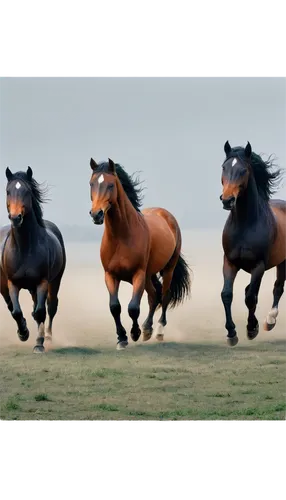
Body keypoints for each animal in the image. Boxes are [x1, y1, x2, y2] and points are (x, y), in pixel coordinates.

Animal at [0, 166, 66, 354]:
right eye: (8, 191)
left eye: (27, 192)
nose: (16, 217)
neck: (25, 247)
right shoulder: (12, 283)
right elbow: (16, 311)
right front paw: (23, 333)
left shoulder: (42, 282)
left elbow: (40, 312)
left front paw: (39, 343)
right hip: (5, 284)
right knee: (12, 306)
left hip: (54, 281)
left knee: (50, 306)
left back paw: (48, 336)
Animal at [87, 158, 190, 350]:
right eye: (91, 183)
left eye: (111, 185)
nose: (96, 214)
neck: (122, 237)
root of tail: (166, 215)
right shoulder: (110, 275)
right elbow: (115, 307)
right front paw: (122, 338)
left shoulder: (138, 274)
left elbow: (133, 307)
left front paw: (134, 333)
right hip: (149, 275)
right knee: (153, 296)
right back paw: (147, 329)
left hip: (167, 269)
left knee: (164, 296)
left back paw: (158, 331)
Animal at [220, 139, 284, 346]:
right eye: (224, 167)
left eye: (243, 170)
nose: (227, 200)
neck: (245, 225)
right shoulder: (229, 262)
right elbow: (227, 294)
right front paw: (231, 333)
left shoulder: (259, 266)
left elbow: (250, 298)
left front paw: (251, 329)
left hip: (283, 262)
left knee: (277, 287)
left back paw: (269, 321)